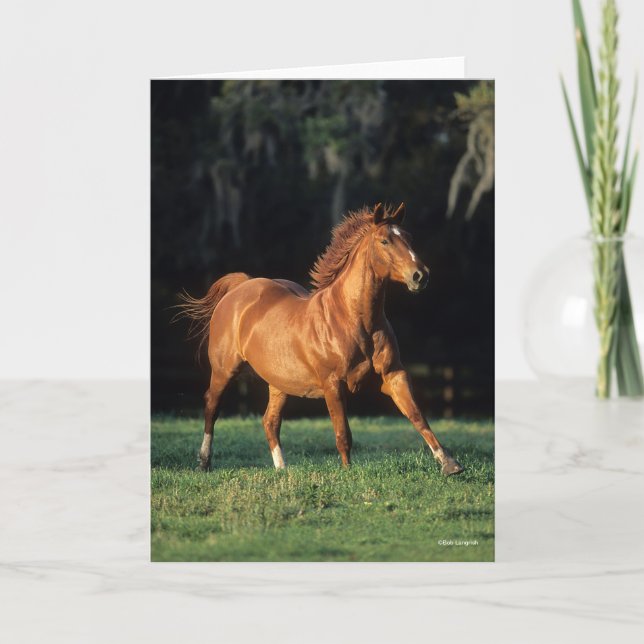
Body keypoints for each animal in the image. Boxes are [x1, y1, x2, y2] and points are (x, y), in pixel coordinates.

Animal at [178, 203, 464, 476]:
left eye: (409, 237)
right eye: (384, 241)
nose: (420, 275)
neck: (354, 319)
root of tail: (241, 287)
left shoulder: (393, 375)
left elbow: (417, 416)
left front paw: (450, 464)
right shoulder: (333, 384)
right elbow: (343, 433)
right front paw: (348, 473)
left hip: (279, 382)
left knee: (270, 421)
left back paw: (282, 469)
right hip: (224, 370)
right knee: (211, 407)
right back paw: (204, 463)